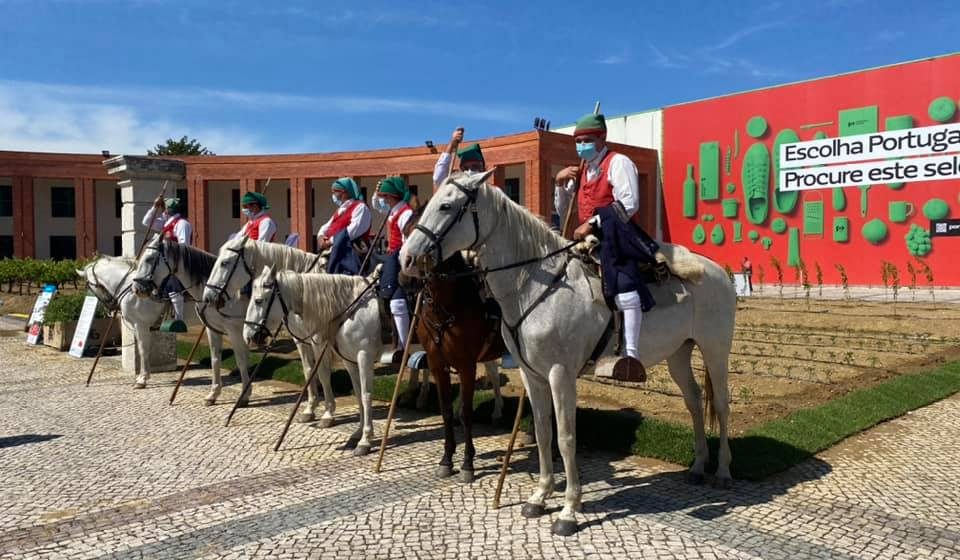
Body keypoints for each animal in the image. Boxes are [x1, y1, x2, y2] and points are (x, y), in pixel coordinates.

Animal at [127, 237, 253, 406]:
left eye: (149, 259)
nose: (136, 289)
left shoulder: (234, 331)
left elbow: (241, 361)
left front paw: (244, 396)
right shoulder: (212, 329)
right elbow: (215, 359)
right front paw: (213, 394)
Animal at [244, 266, 382, 456]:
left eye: (258, 301)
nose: (247, 336)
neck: (350, 310)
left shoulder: (362, 356)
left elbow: (364, 395)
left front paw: (365, 439)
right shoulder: (349, 359)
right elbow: (356, 393)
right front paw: (358, 432)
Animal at [404, 252, 506, 484]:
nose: (404, 279)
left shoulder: (467, 365)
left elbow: (466, 413)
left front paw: (468, 464)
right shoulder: (437, 365)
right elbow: (447, 411)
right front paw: (446, 460)